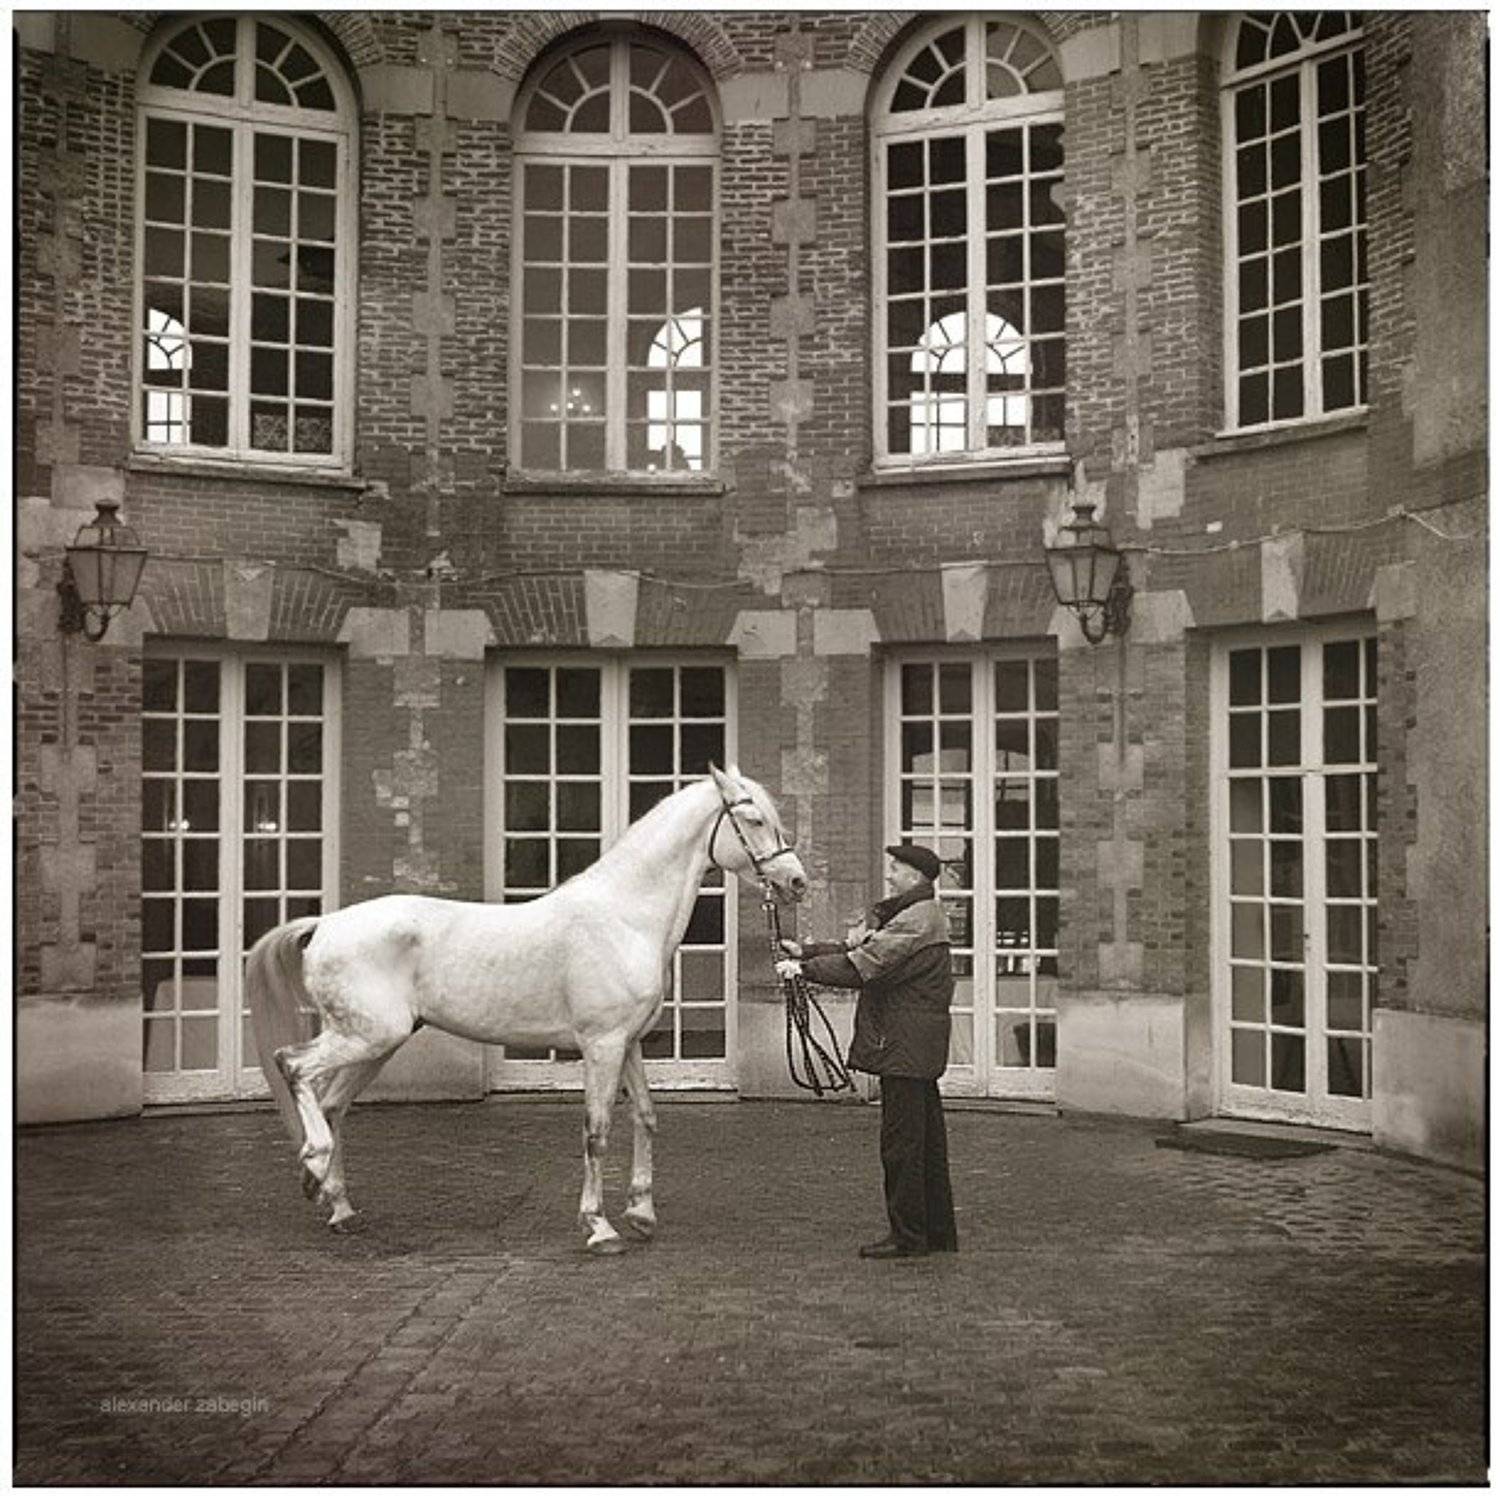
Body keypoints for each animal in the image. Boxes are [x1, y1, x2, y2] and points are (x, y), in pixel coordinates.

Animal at [245, 764, 807, 1254]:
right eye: (753, 819)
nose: (796, 882)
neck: (624, 919)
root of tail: (324, 924)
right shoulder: (601, 1046)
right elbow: (597, 1130)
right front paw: (599, 1227)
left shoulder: (628, 1045)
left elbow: (646, 1117)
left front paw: (642, 1214)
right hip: (366, 1037)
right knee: (293, 1066)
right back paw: (314, 1165)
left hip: (374, 1045)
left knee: (332, 1104)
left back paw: (338, 1205)